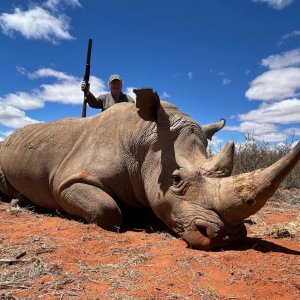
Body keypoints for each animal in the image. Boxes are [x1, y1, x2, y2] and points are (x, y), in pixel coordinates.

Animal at [0, 88, 300, 248]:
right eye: (176, 180)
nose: (227, 237)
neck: (144, 141)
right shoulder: (67, 180)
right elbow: (107, 210)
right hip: (5, 147)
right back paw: (17, 202)